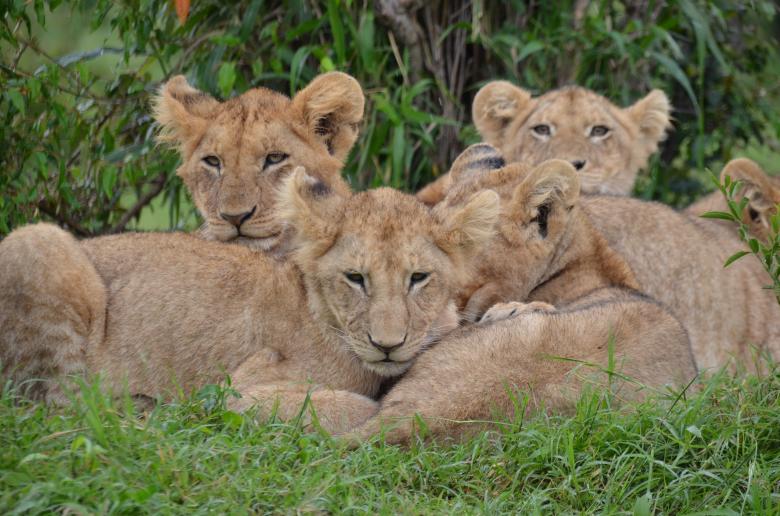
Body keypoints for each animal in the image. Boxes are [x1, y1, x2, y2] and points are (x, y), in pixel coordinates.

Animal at [0, 167, 499, 433]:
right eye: (356, 278)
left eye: (419, 278)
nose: (388, 345)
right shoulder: (240, 390)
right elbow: (349, 405)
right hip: (38, 240)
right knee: (55, 403)